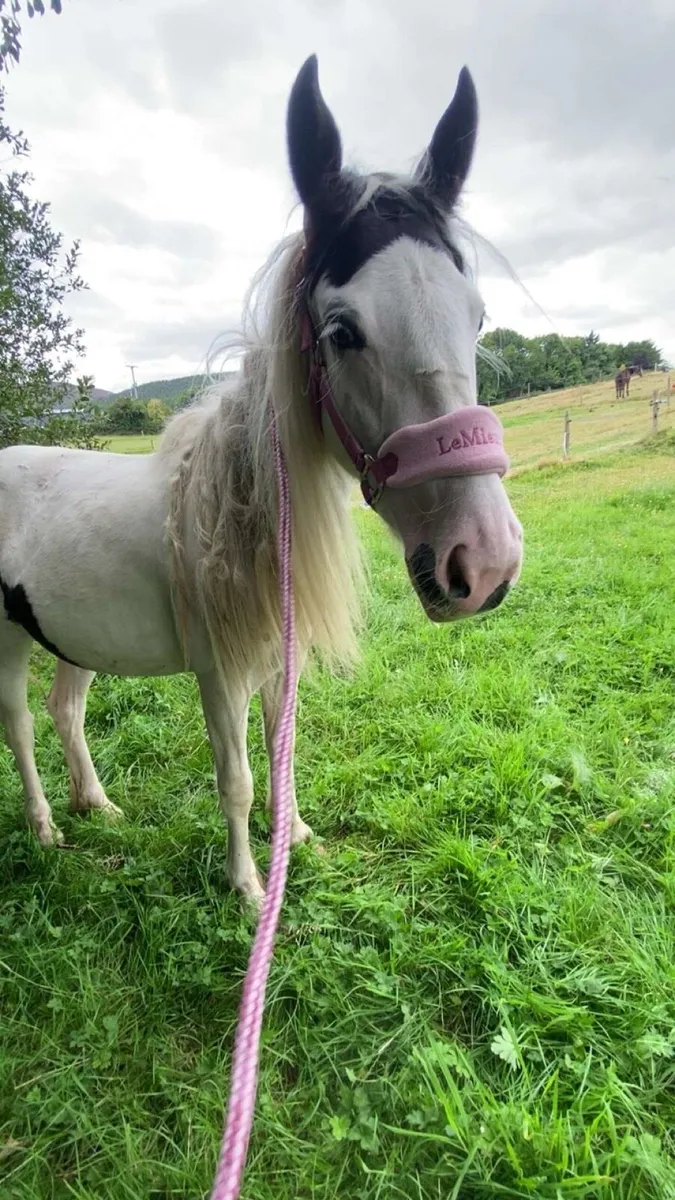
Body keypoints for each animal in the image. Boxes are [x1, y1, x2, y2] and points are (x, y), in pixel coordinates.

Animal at [0, 56, 523, 907]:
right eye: (341, 331)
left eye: (475, 317)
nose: (483, 564)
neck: (234, 513)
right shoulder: (221, 673)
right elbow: (237, 779)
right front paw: (248, 886)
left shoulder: (279, 661)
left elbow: (282, 754)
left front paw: (299, 839)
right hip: (9, 635)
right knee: (17, 718)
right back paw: (46, 828)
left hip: (68, 635)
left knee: (63, 710)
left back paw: (96, 806)